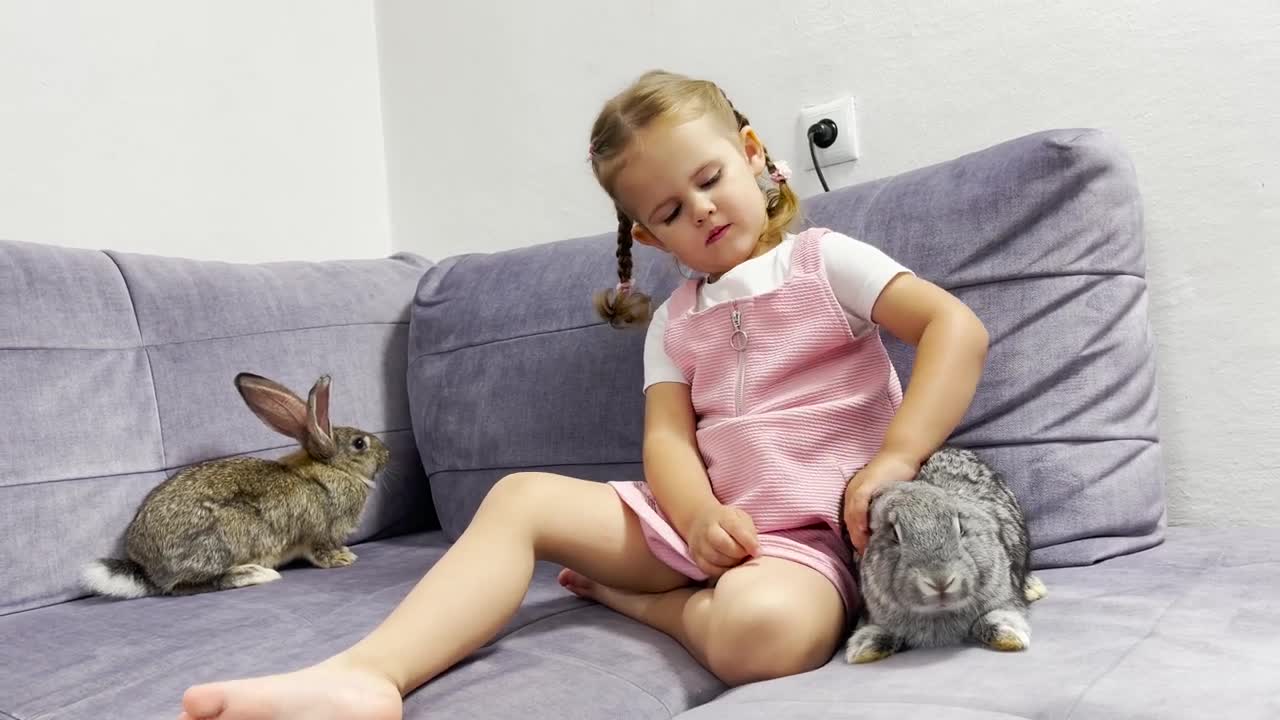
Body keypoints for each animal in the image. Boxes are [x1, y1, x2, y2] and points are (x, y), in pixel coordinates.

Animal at [81, 371, 386, 597]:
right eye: (360, 444)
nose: (387, 454)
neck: (332, 469)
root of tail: (147, 568)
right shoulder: (318, 532)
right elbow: (319, 552)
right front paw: (343, 559)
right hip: (223, 541)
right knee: (188, 586)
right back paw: (254, 574)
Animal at [844, 448, 1044, 661]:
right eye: (894, 535)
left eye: (960, 527)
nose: (939, 581)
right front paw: (863, 649)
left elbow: (995, 616)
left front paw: (1011, 637)